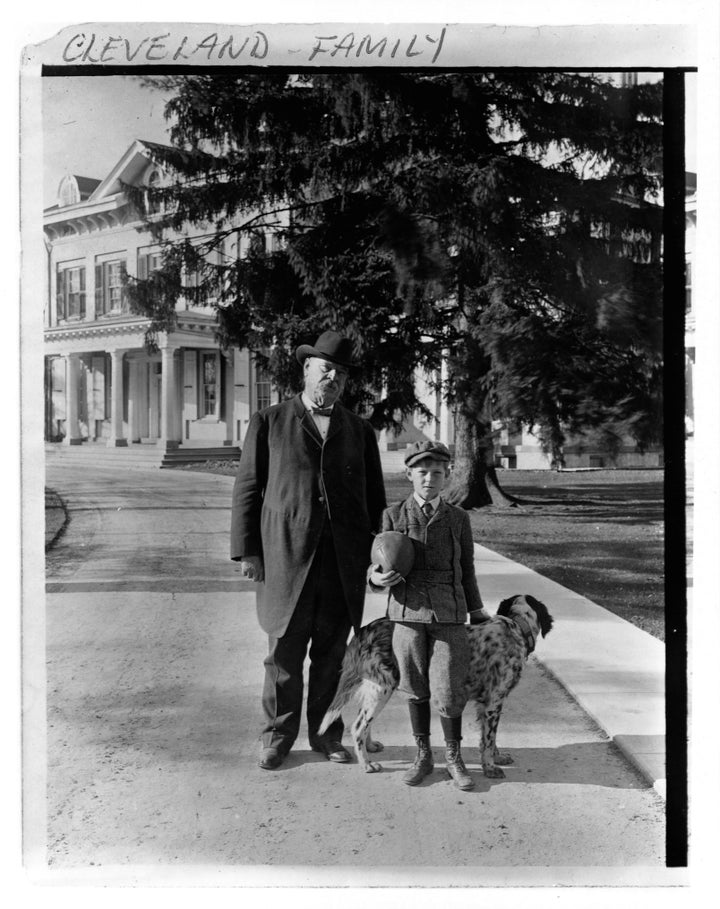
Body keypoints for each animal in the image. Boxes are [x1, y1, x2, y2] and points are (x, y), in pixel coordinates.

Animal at [318, 592, 556, 776]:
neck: (517, 627)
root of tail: (364, 631)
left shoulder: (485, 705)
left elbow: (489, 739)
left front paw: (497, 757)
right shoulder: (493, 702)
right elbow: (488, 740)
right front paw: (490, 767)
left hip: (375, 689)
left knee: (364, 722)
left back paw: (370, 746)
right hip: (382, 688)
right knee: (358, 726)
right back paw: (366, 764)